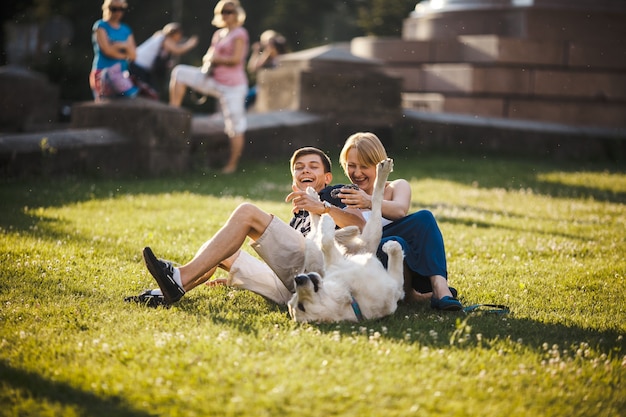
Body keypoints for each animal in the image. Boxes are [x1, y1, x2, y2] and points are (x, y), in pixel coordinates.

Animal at [286, 157, 402, 322]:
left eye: (297, 300)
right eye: (301, 306)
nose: (298, 279)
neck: (350, 292)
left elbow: (325, 241)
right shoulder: (396, 285)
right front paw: (391, 247)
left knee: (315, 220)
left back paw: (312, 196)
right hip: (366, 240)